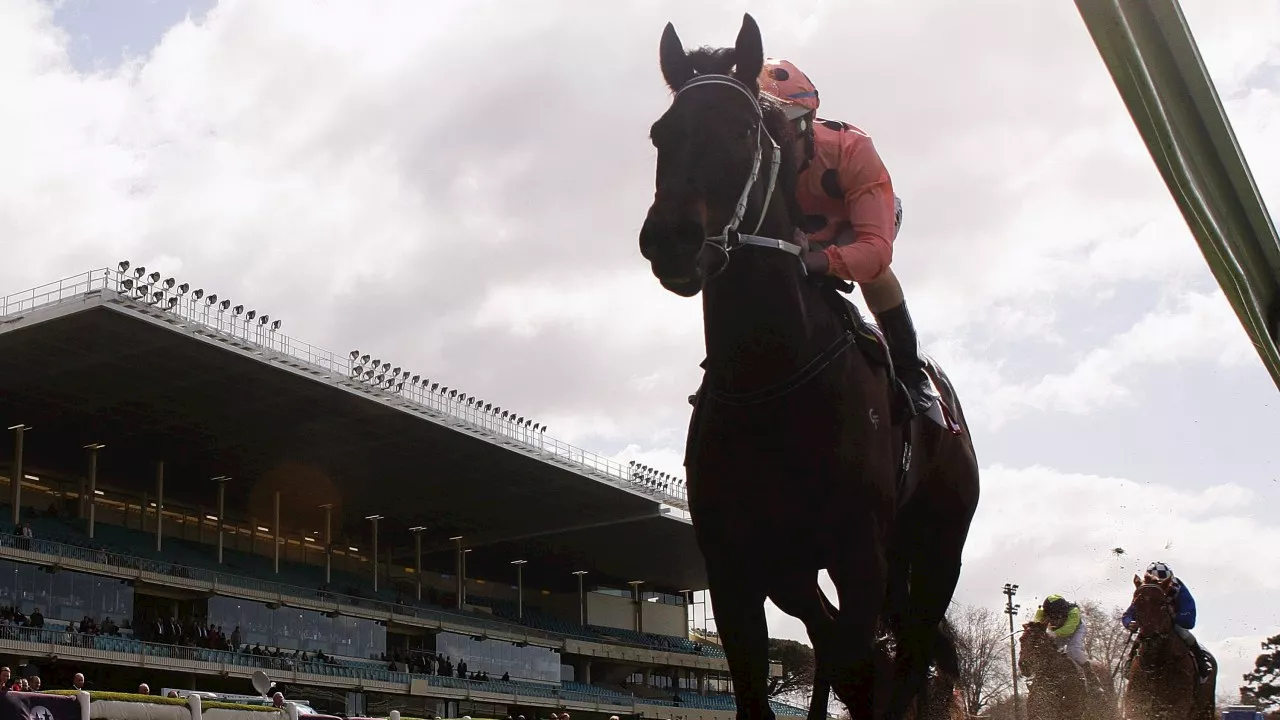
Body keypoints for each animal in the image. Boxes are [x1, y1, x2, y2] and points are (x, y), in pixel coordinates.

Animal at [637, 11, 977, 717]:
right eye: (661, 133)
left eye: (742, 129)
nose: (673, 240)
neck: (769, 374)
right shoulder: (735, 560)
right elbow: (771, 682)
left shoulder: (860, 554)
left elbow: (863, 667)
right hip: (799, 567)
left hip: (936, 553)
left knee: (903, 666)